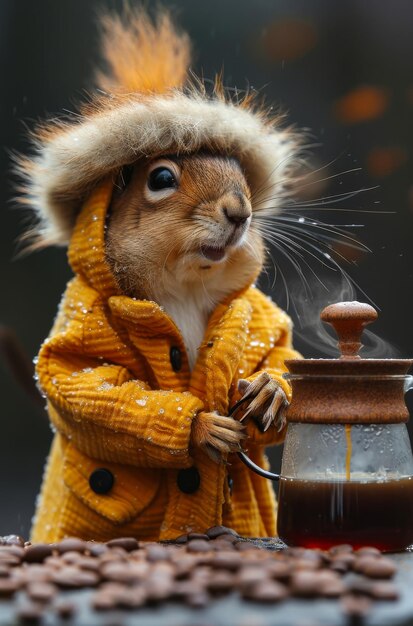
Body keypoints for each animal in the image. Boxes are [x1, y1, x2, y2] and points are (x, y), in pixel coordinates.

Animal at [18, 6, 300, 540]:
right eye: (162, 177)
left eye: (240, 171)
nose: (241, 211)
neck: (185, 287)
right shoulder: (83, 316)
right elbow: (87, 383)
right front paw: (203, 429)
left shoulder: (258, 311)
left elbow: (279, 351)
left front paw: (271, 390)